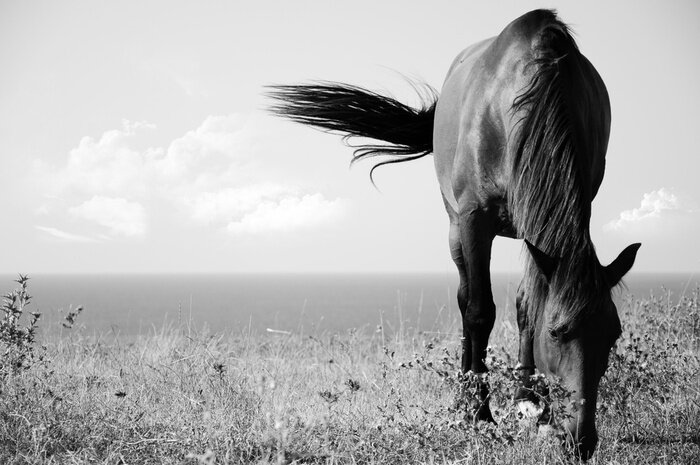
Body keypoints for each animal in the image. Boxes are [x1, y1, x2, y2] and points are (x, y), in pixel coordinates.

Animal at [267, 9, 640, 459]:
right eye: (558, 332)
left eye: (612, 334)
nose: (581, 441)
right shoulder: (473, 220)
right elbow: (479, 310)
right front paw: (478, 414)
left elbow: (528, 304)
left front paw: (533, 406)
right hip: (456, 229)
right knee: (466, 300)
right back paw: (466, 396)